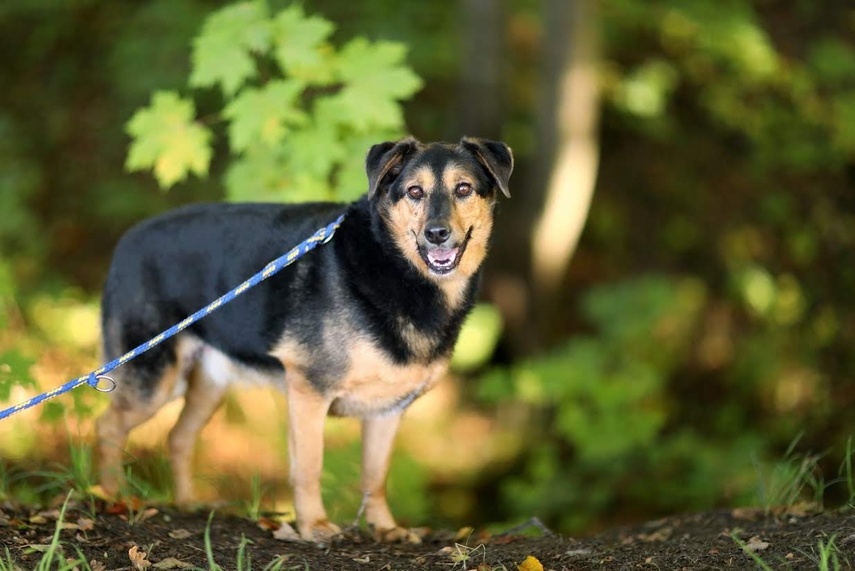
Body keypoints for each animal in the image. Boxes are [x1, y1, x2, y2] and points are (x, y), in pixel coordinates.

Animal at [98, 136, 516, 544]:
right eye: (415, 191)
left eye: (463, 189)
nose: (436, 234)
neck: (395, 265)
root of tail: (127, 240)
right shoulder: (310, 391)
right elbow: (310, 466)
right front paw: (314, 526)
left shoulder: (387, 410)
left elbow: (375, 476)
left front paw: (385, 528)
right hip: (154, 379)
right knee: (109, 426)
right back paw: (113, 496)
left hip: (209, 383)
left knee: (178, 437)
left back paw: (186, 504)